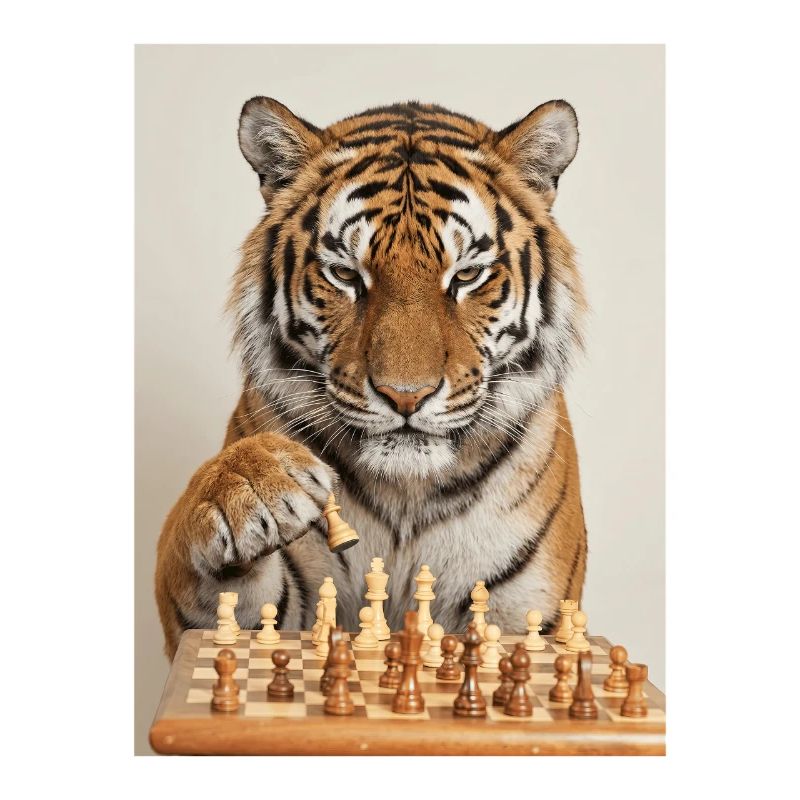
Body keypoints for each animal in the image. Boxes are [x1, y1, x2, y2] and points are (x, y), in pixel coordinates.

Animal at [155, 97, 588, 660]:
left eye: (467, 275)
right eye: (345, 274)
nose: (406, 397)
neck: (407, 499)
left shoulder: (530, 615)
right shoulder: (246, 619)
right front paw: (249, 483)